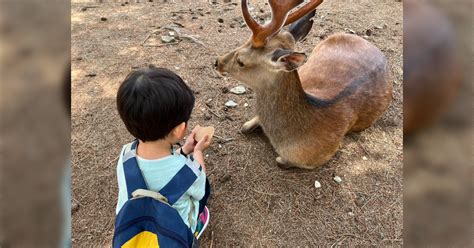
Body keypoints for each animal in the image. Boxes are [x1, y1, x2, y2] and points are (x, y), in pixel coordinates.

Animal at [216, 0, 392, 170]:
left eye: (241, 61)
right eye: (244, 41)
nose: (218, 62)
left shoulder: (319, 156)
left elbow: (280, 161)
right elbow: (244, 127)